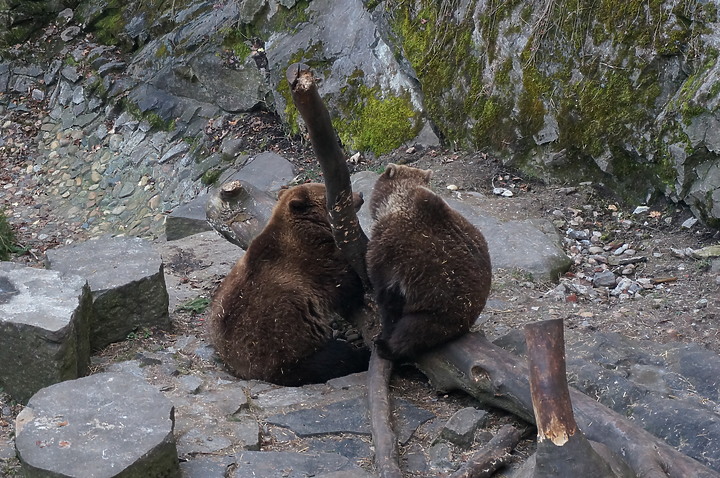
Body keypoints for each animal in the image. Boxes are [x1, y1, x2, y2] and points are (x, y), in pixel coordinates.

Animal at [207, 182, 366, 384]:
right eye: (329, 195)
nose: (360, 195)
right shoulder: (315, 263)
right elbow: (347, 282)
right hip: (283, 342)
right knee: (326, 359)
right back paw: (358, 354)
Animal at [368, 162, 492, 360]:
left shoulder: (389, 250)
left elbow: (387, 295)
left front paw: (383, 333)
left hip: (437, 311)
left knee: (411, 331)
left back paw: (387, 348)